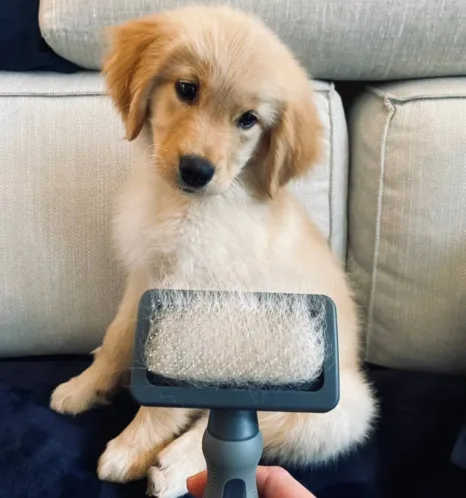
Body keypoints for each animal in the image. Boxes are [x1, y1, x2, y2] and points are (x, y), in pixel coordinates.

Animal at [49, 4, 374, 498]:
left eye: (248, 120)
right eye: (187, 89)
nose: (196, 170)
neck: (189, 206)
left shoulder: (195, 316)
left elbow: (167, 400)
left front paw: (130, 447)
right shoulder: (145, 280)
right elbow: (117, 339)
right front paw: (85, 387)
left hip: (336, 406)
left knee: (255, 420)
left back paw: (173, 466)